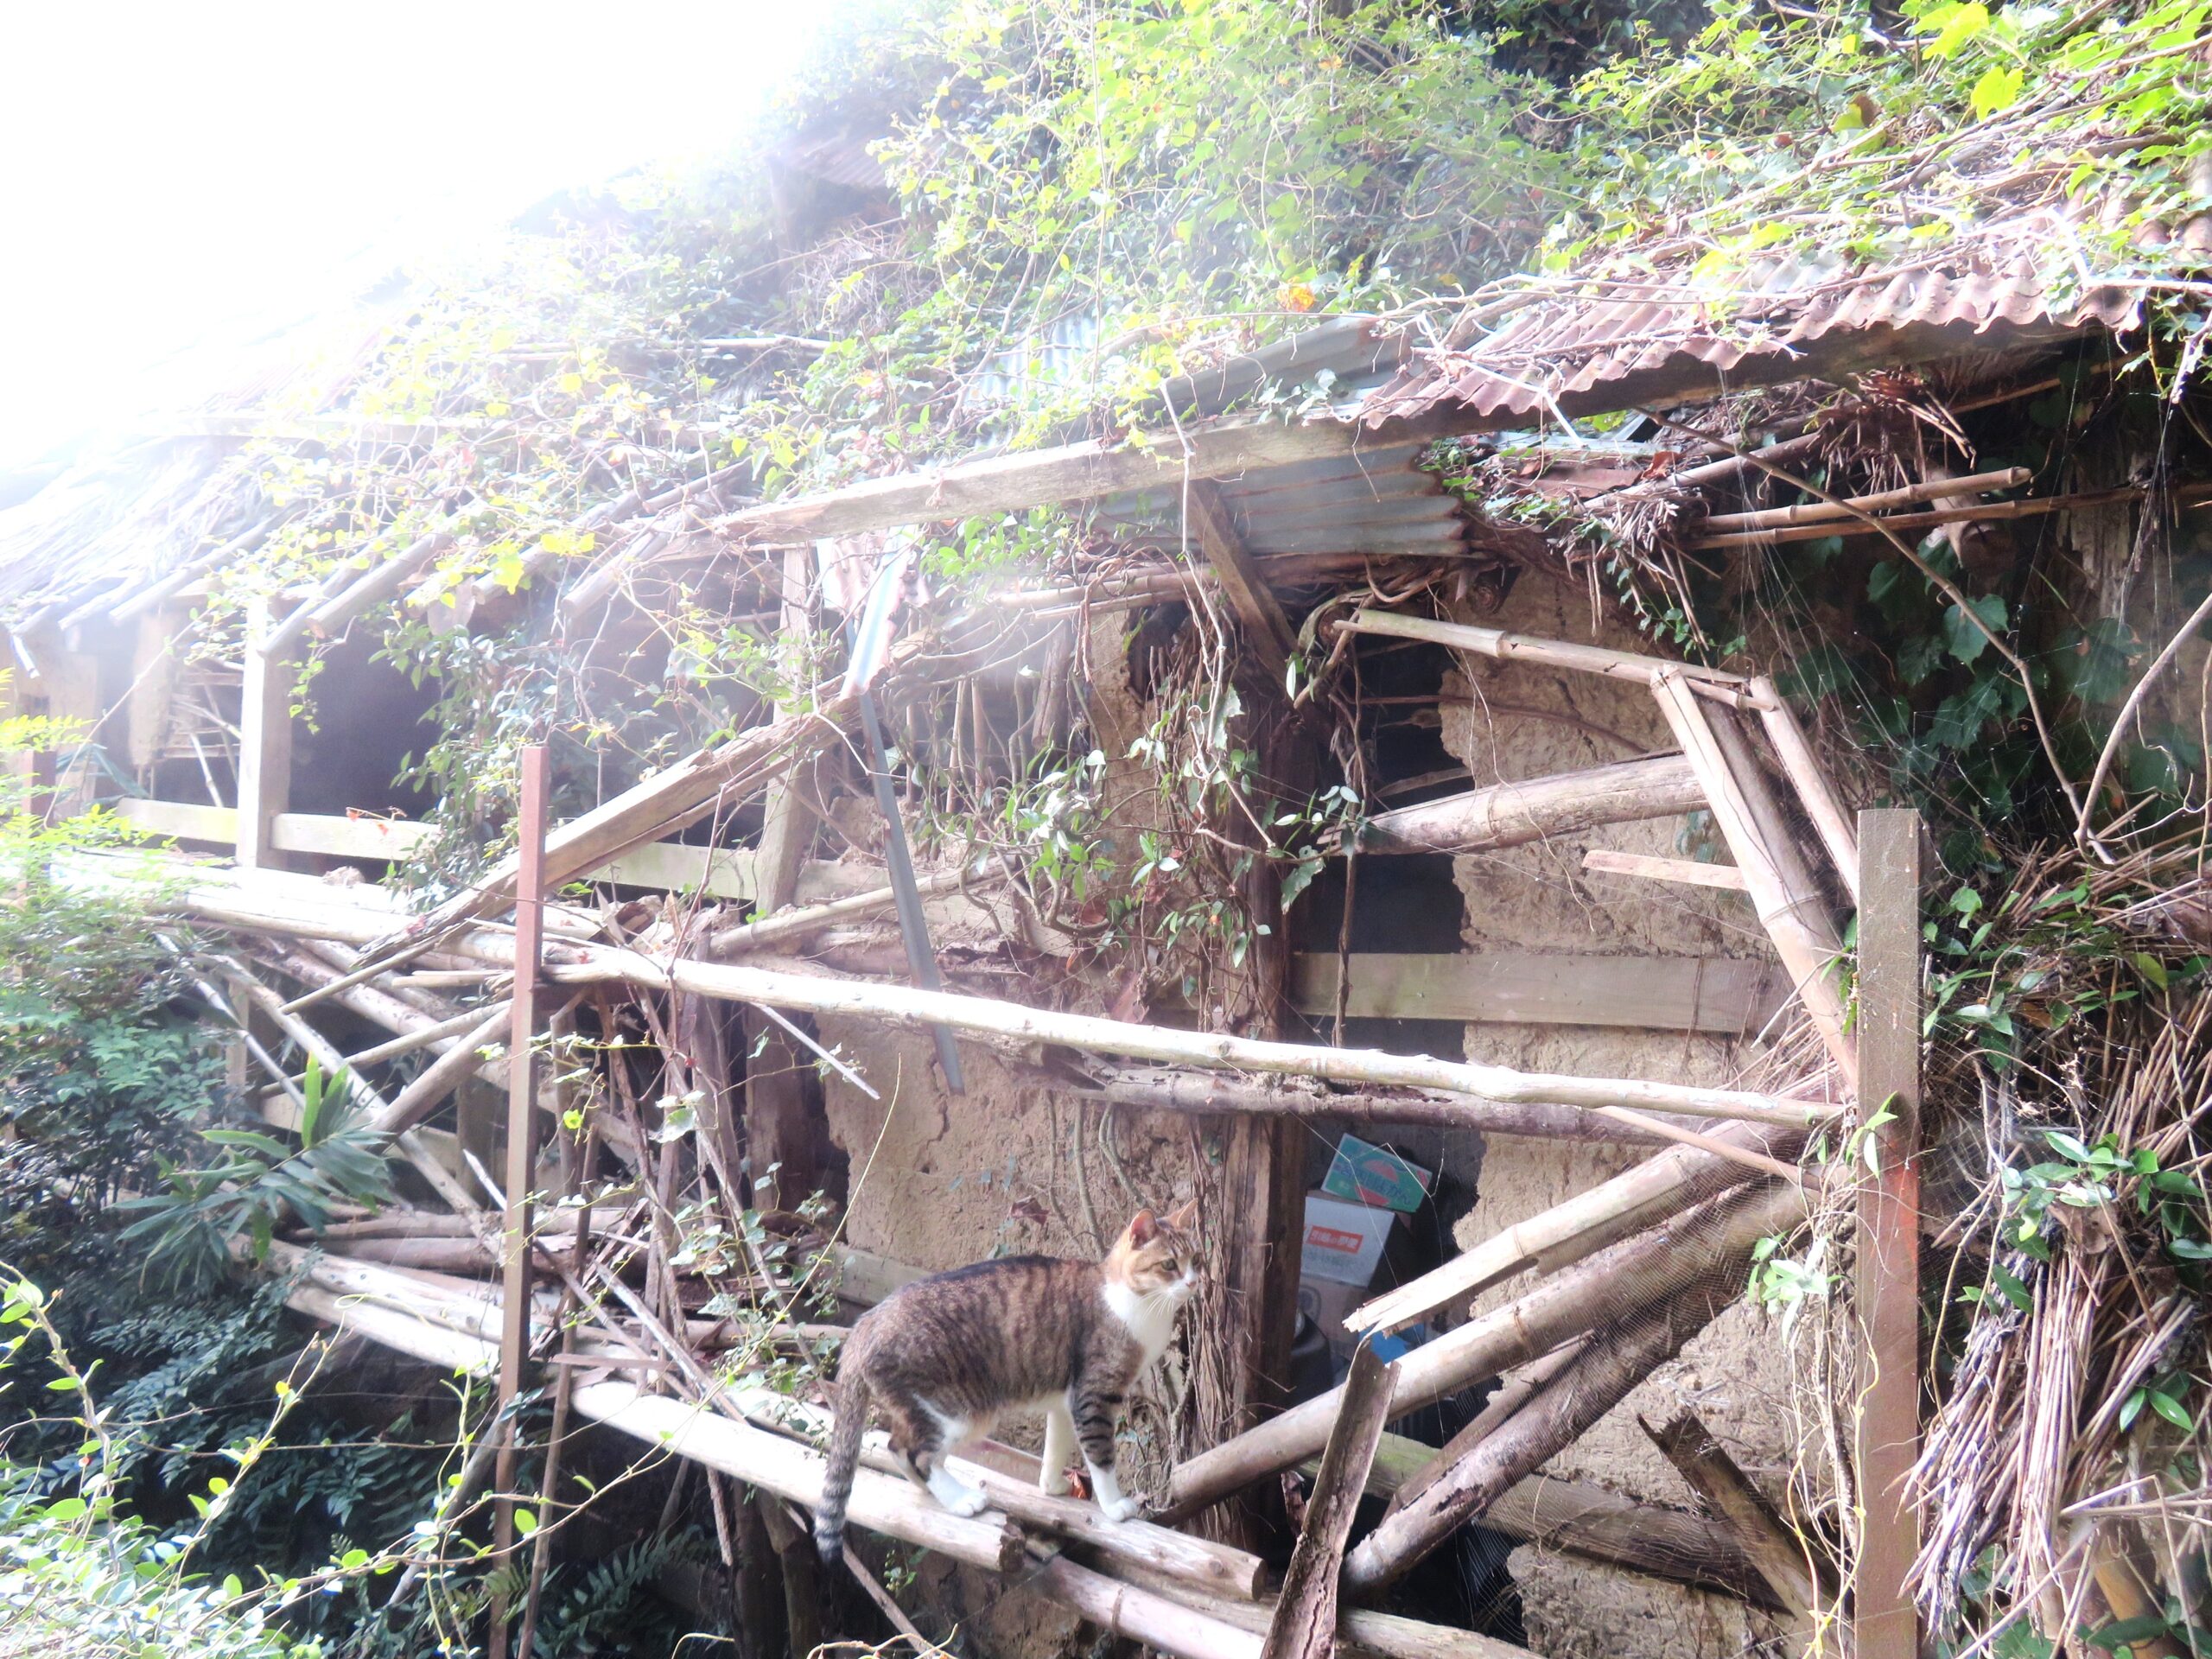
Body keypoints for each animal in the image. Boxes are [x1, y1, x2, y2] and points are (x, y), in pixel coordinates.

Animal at [814, 1203, 1203, 1566]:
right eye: (1169, 1265)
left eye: (1195, 1259)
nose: (1193, 1282)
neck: (1137, 1305)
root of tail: (866, 1323)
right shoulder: (1094, 1395)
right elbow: (1101, 1456)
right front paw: (1115, 1506)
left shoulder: (1066, 1401)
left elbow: (1056, 1447)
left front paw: (1052, 1486)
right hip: (957, 1411)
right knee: (915, 1453)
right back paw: (962, 1501)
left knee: (896, 1446)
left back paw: (932, 1492)